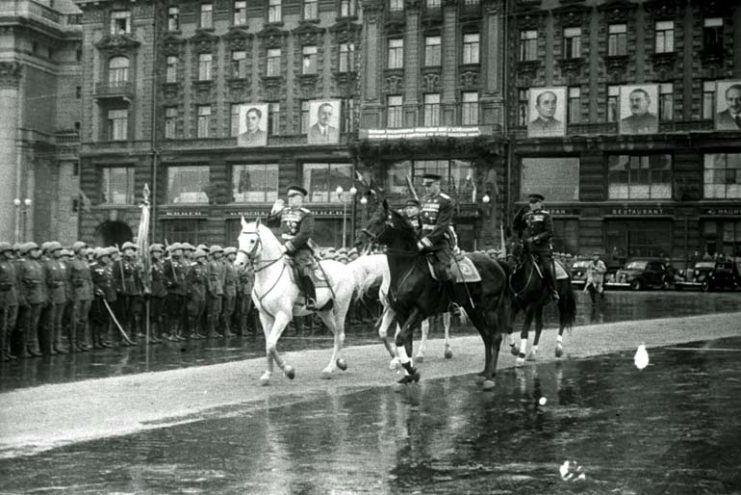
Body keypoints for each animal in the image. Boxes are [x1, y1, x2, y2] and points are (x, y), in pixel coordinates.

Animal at [236, 218, 388, 388]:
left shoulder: (283, 316)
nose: (238, 264)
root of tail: (346, 267)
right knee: (336, 334)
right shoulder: (265, 317)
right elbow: (268, 345)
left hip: (341, 307)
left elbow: (270, 344)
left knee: (340, 335)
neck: (270, 276)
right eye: (239, 239)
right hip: (324, 311)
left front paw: (288, 370)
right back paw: (340, 362)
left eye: (252, 240)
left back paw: (329, 369)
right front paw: (268, 375)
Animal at [362, 202, 508, 392]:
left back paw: (490, 377)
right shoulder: (401, 312)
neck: (408, 268)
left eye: (380, 219)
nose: (363, 235)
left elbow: (401, 338)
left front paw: (413, 371)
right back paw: (484, 372)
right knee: (486, 336)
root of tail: (496, 263)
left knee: (495, 337)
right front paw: (408, 375)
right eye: (372, 215)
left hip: (489, 308)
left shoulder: (419, 311)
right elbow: (406, 343)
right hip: (473, 308)